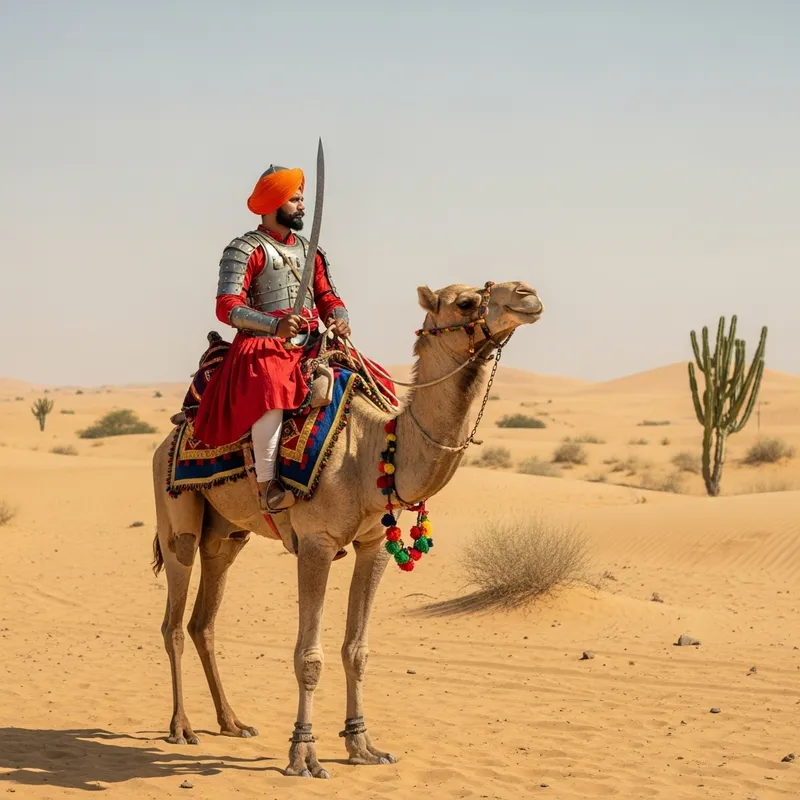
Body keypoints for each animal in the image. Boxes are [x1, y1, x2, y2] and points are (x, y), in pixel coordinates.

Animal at [151, 279, 544, 778]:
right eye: (466, 302)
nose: (528, 295)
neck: (367, 451)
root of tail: (173, 432)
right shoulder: (316, 544)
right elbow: (308, 656)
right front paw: (303, 755)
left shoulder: (373, 543)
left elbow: (356, 651)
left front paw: (363, 746)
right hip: (176, 516)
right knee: (174, 621)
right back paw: (182, 727)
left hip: (225, 535)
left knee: (204, 622)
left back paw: (233, 723)